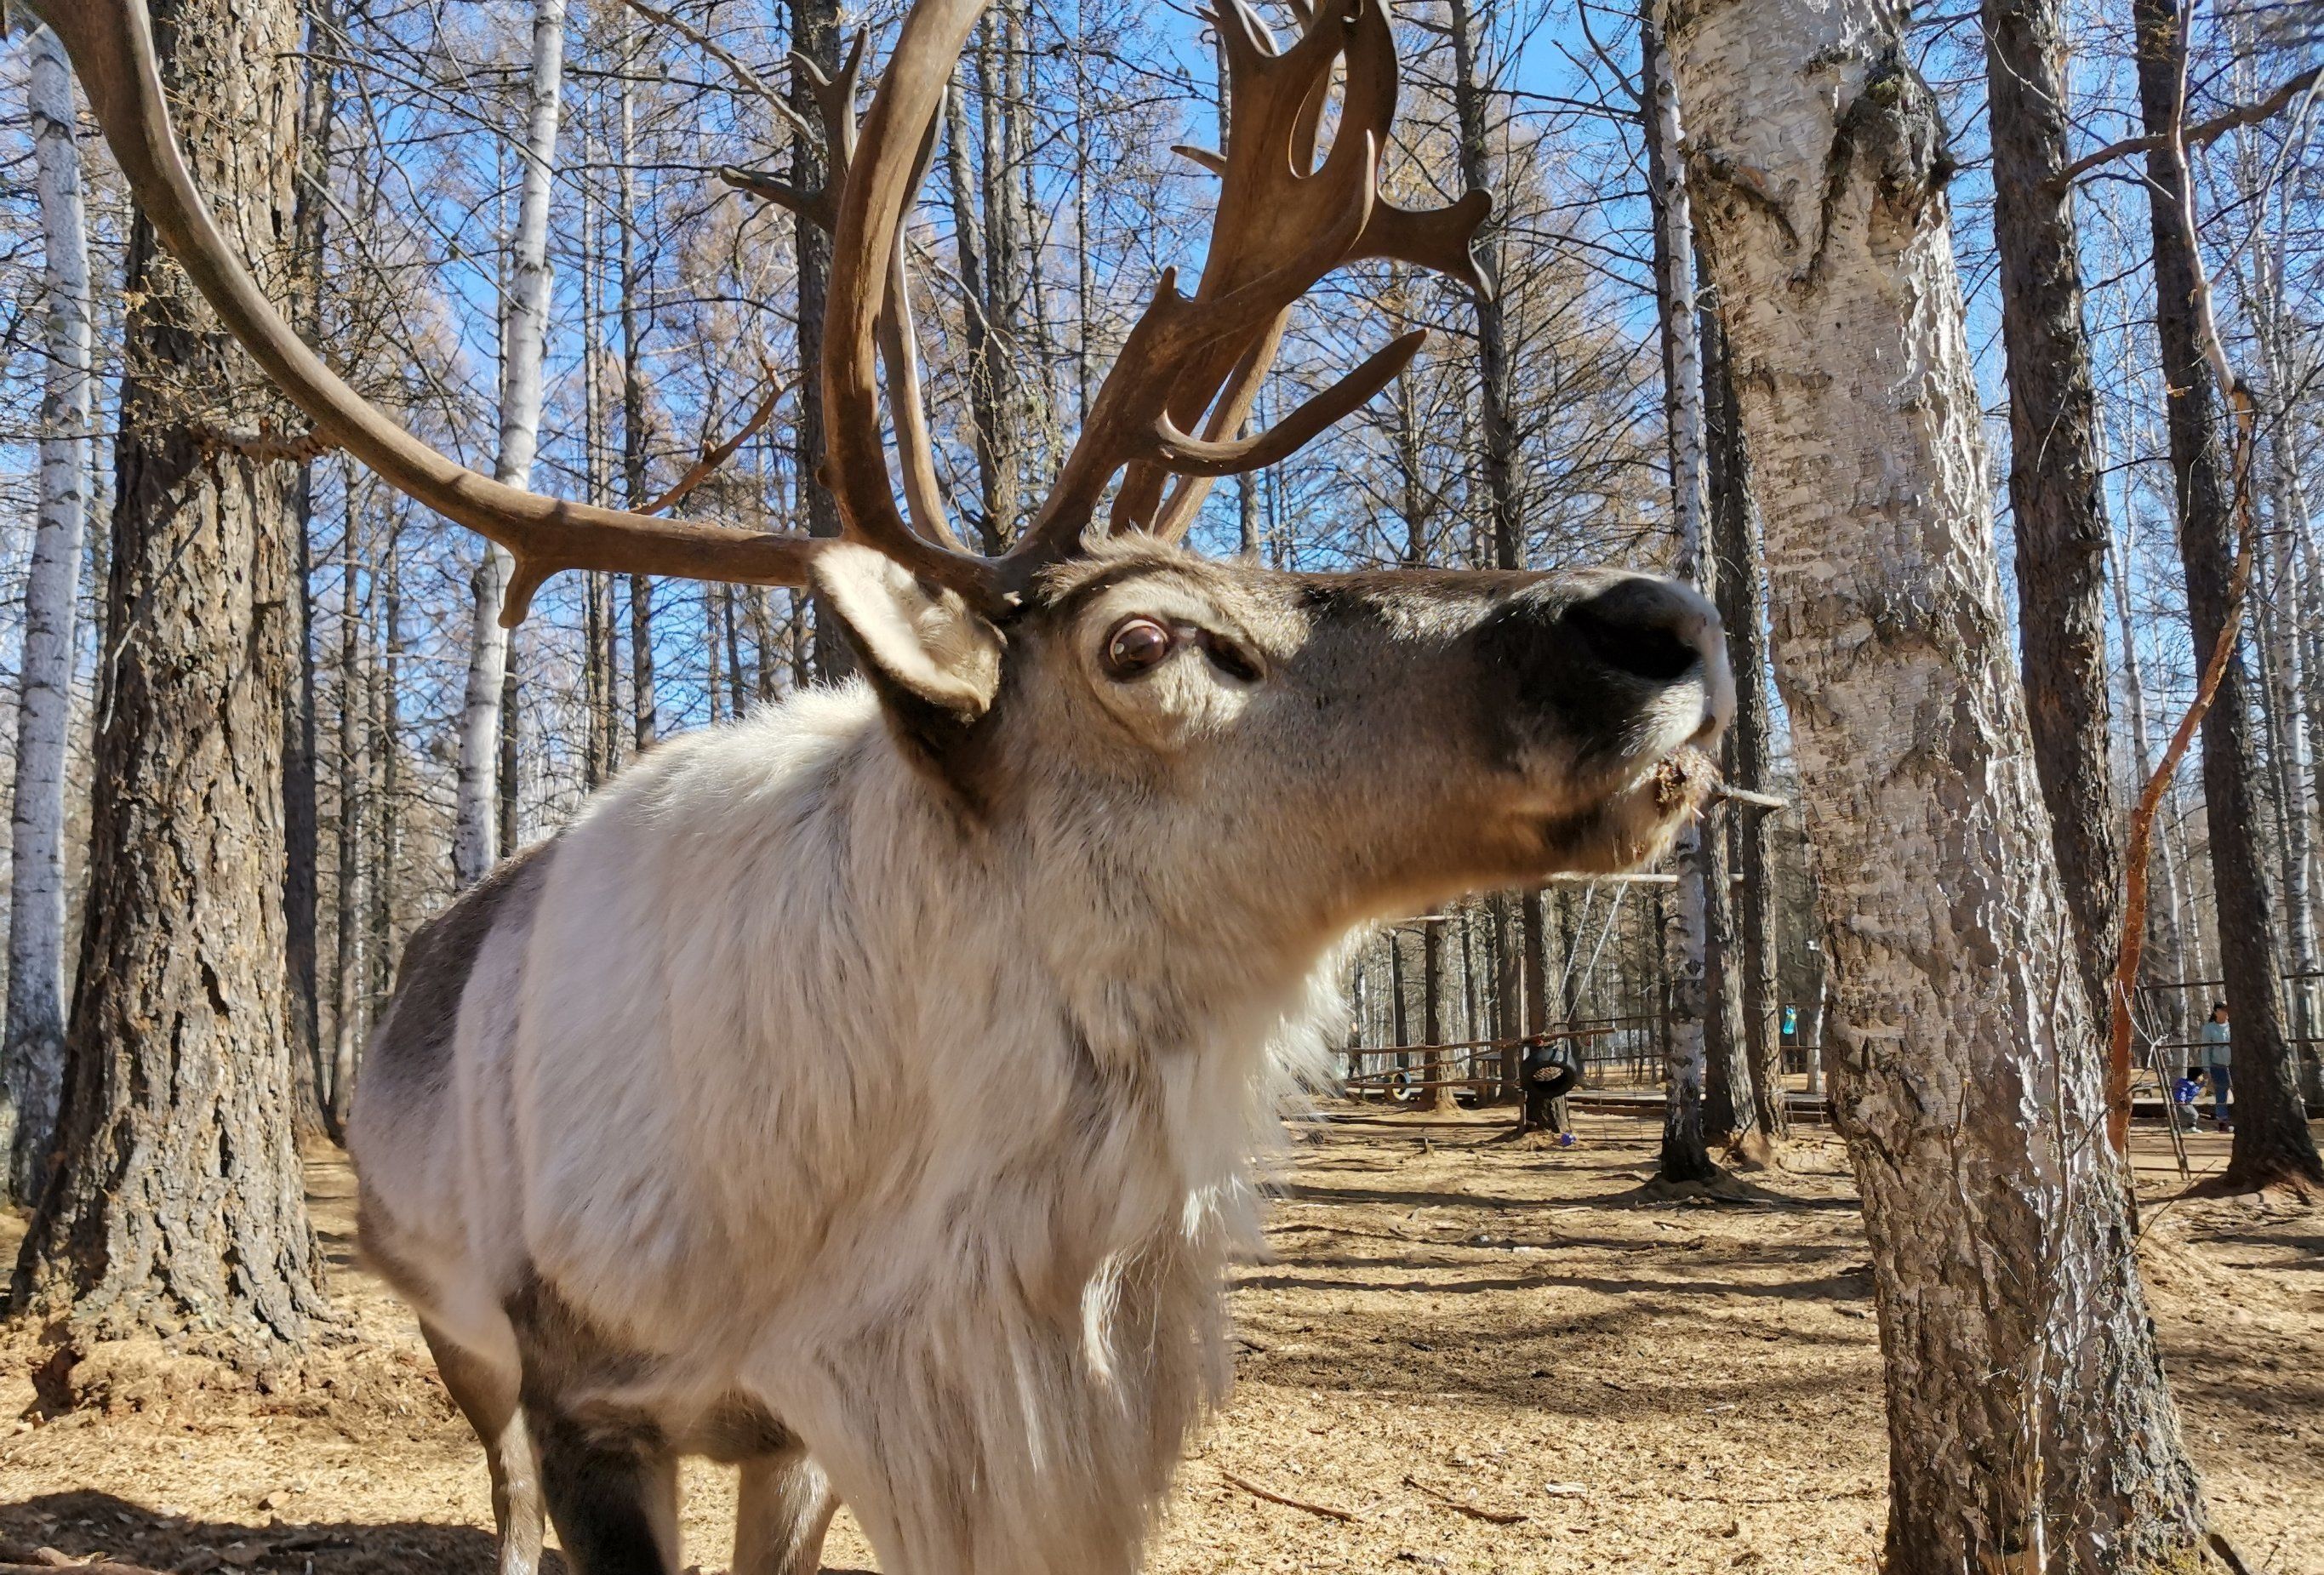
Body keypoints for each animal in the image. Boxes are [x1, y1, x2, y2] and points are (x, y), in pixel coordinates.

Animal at [39, 0, 1732, 1570]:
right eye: (1142, 640)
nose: (1663, 623)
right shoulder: (589, 1389)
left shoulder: (822, 1423)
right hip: (448, 1315)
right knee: (496, 1481)